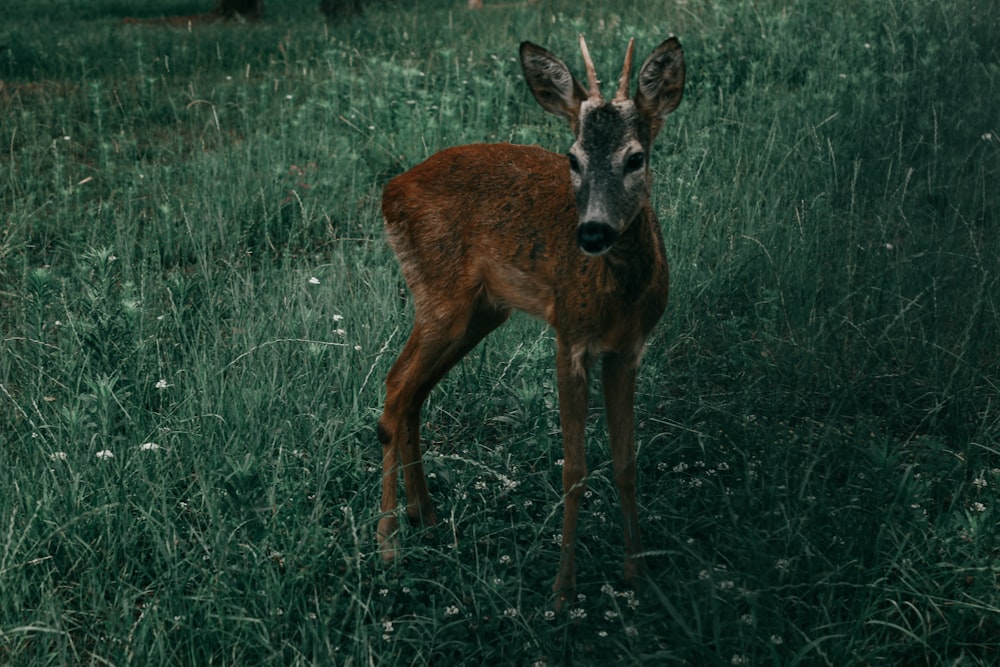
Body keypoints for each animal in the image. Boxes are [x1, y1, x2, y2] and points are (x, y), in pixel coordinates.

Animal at [376, 36, 688, 612]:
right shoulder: (569, 336)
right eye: (573, 158)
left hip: (479, 313)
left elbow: (626, 462)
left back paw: (424, 516)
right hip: (440, 299)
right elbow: (574, 468)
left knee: (412, 394)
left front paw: (636, 577)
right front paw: (564, 590)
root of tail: (389, 192)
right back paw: (388, 544)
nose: (592, 232)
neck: (618, 296)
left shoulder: (628, 350)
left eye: (635, 157)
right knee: (394, 389)